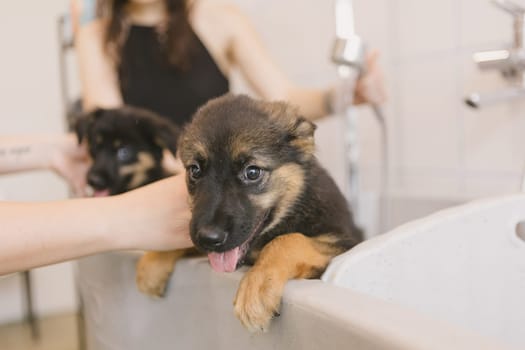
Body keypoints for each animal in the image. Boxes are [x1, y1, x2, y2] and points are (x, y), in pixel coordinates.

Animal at [139, 94, 364, 332]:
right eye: (195, 170)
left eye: (253, 172)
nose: (209, 238)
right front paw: (153, 262)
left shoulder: (342, 242)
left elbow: (288, 240)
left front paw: (257, 286)